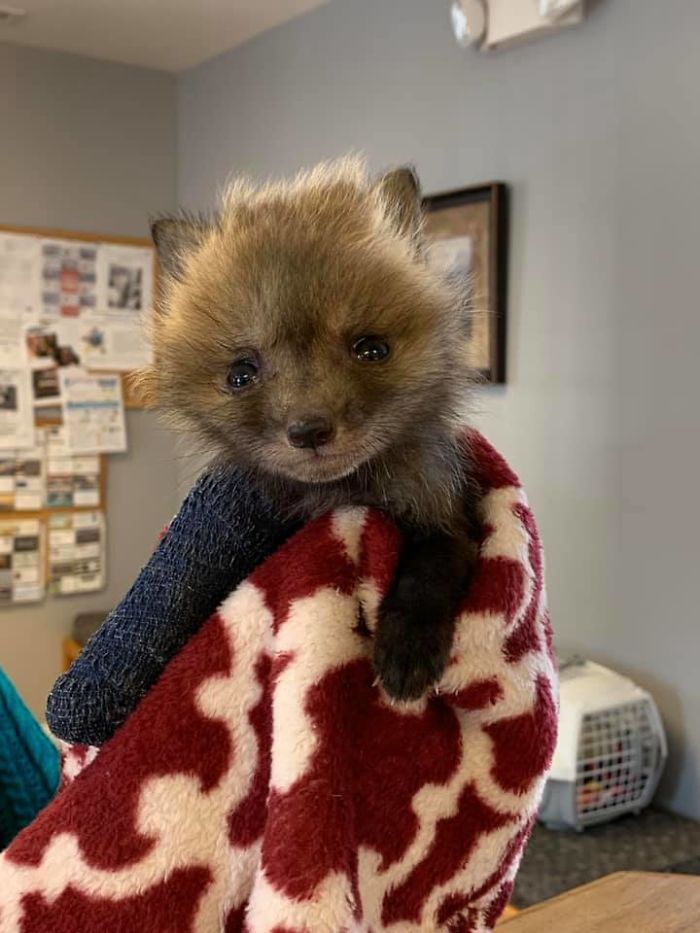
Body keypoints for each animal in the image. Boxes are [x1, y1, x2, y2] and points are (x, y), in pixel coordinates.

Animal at [145, 158, 480, 701]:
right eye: (241, 374)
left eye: (371, 349)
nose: (309, 431)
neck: (340, 496)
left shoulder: (447, 513)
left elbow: (430, 570)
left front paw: (407, 649)